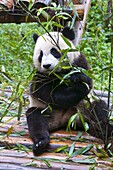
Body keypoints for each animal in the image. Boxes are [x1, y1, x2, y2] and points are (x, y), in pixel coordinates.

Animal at [25, 26, 112, 155]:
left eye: (54, 51)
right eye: (40, 55)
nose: (46, 65)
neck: (59, 73)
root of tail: (67, 121)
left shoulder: (78, 61)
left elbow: (87, 79)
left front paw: (80, 79)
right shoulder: (40, 76)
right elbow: (52, 95)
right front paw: (79, 88)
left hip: (85, 109)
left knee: (98, 108)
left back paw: (103, 130)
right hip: (47, 111)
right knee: (35, 118)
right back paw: (40, 143)